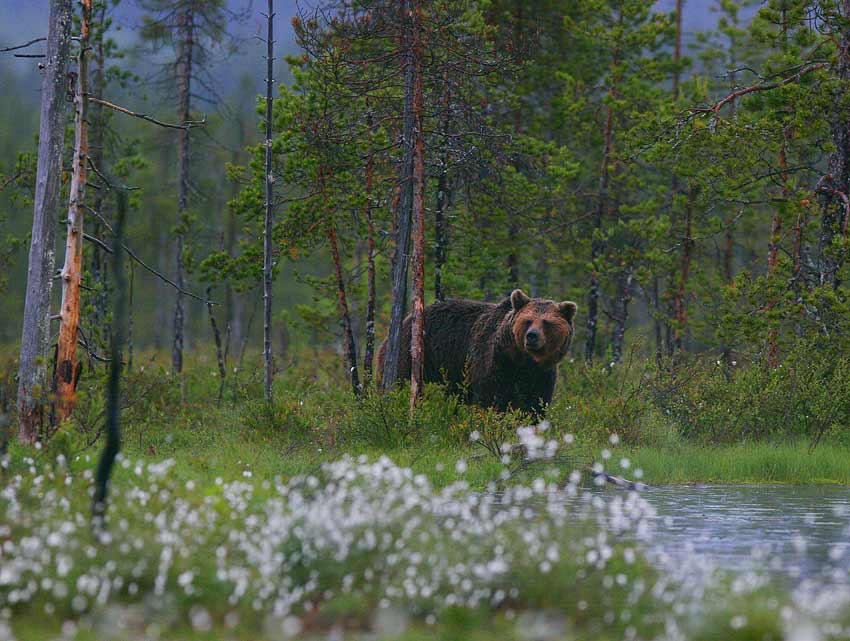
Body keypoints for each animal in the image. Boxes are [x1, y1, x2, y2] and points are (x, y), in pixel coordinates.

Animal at [380, 288, 572, 416]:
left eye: (546, 322)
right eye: (528, 320)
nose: (532, 336)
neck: (522, 361)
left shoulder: (543, 374)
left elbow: (536, 404)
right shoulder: (493, 362)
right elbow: (489, 398)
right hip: (417, 359)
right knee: (404, 383)